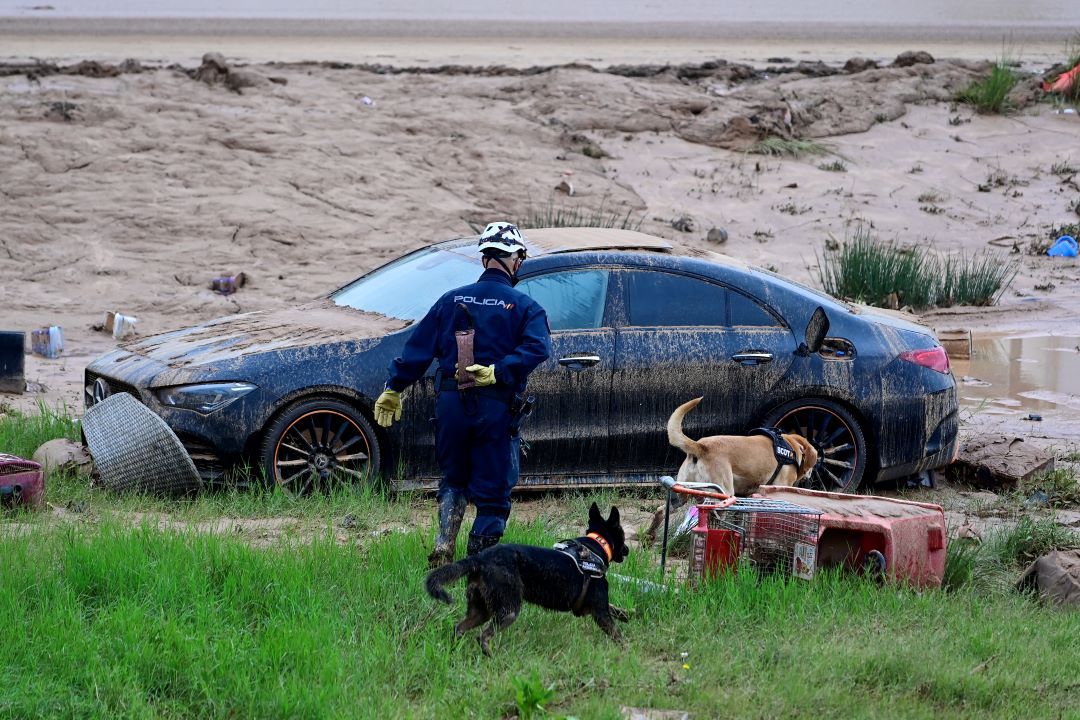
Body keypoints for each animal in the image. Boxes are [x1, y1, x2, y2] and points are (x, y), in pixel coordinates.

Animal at [425, 505, 630, 656]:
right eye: (622, 533)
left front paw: (627, 613)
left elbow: (614, 608)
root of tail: (479, 559)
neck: (596, 547)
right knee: (482, 636)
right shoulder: (600, 612)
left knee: (459, 628)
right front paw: (628, 654)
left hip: (481, 610)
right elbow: (618, 635)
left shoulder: (594, 606)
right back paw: (492, 657)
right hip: (508, 610)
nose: (627, 550)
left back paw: (454, 651)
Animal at [665, 397, 816, 498]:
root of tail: (701, 447)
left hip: (682, 491)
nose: (811, 474)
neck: (792, 446)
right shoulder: (781, 485)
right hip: (723, 490)